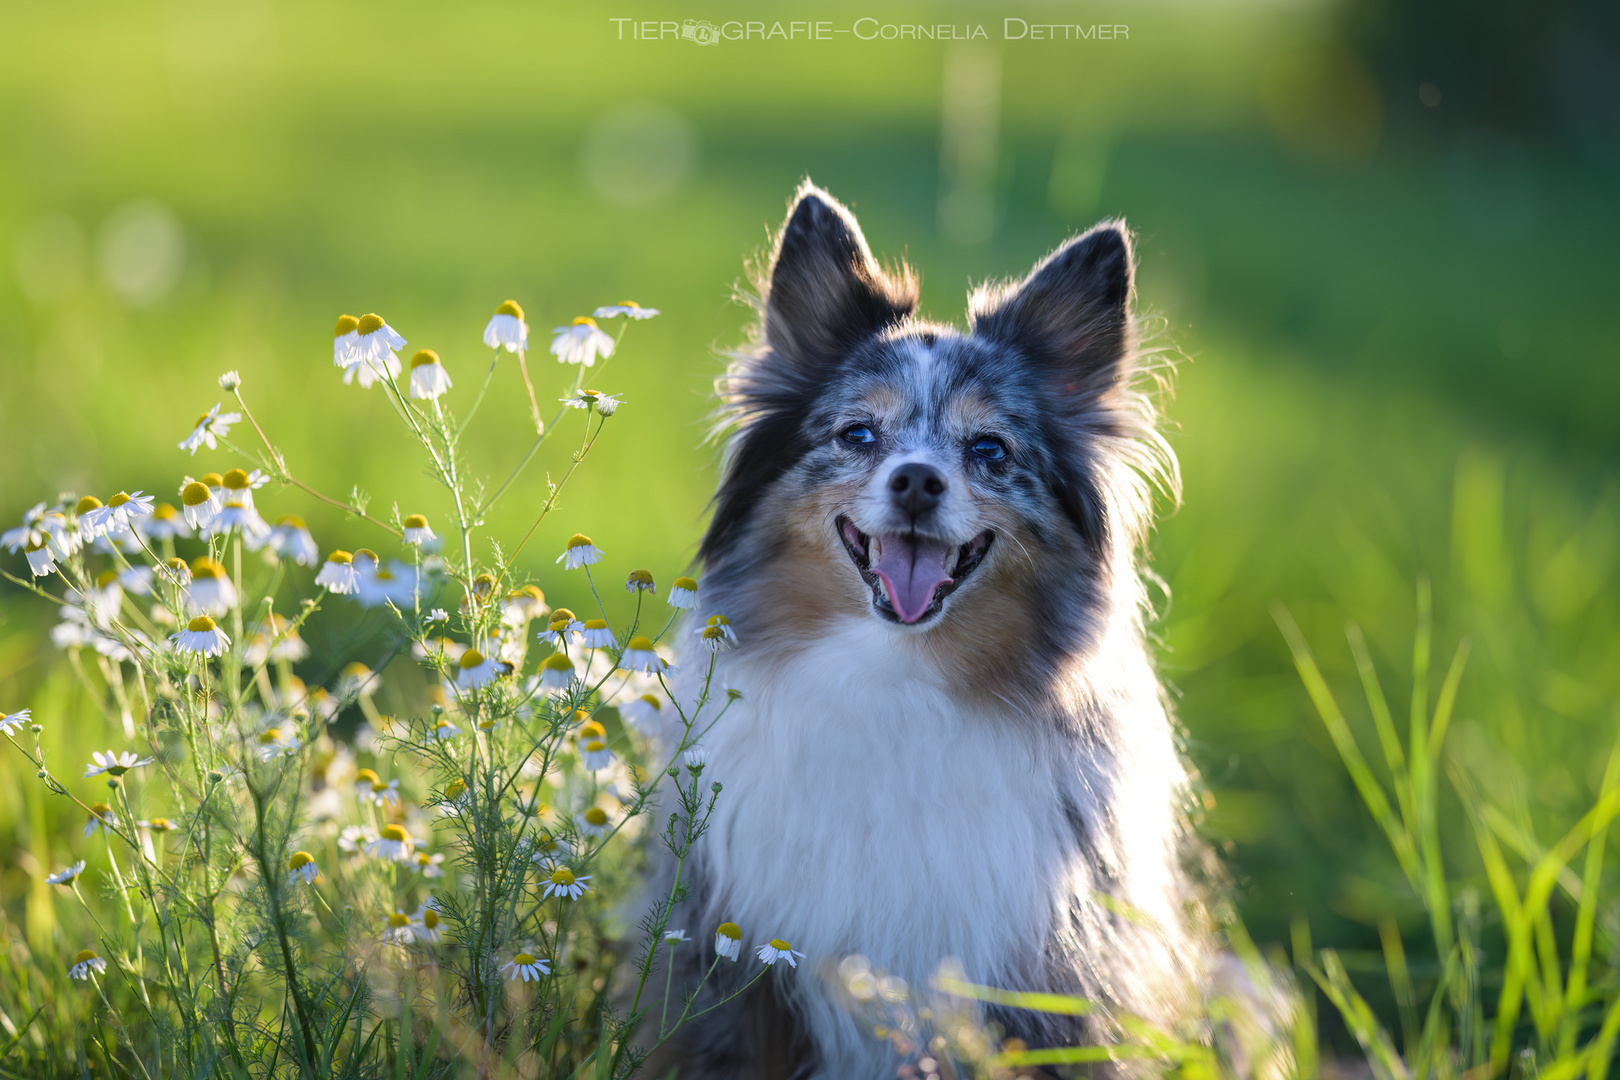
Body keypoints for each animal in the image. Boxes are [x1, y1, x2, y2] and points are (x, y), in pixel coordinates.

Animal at [651, 183, 1211, 1080]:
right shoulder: (739, 971)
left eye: (990, 449)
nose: (917, 480)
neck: (901, 675)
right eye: (857, 435)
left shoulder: (1053, 977)